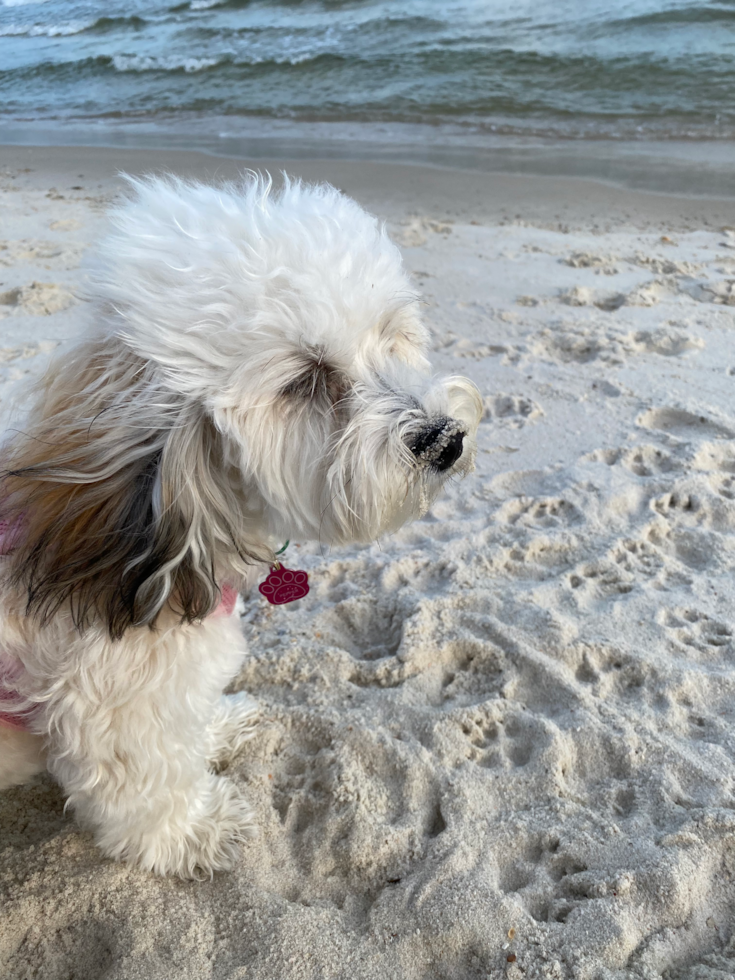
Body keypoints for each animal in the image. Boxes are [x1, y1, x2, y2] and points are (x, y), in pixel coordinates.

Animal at [0, 172, 484, 876]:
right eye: (306, 380)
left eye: (390, 333)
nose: (444, 439)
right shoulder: (113, 703)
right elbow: (144, 784)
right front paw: (194, 833)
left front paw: (217, 727)